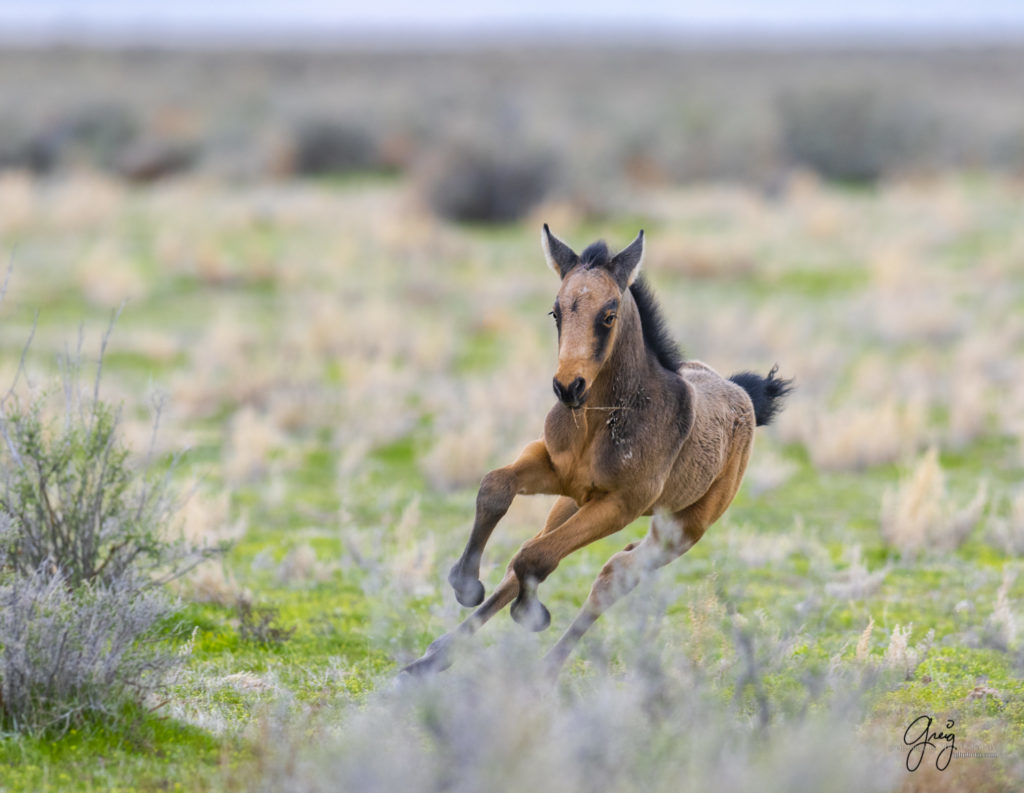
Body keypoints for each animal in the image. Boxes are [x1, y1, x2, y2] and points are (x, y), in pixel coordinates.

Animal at [401, 226, 790, 680]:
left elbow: (537, 557)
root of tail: (743, 392)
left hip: (683, 529)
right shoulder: (553, 468)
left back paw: (545, 669)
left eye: (608, 314)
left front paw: (532, 615)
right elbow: (496, 490)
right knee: (531, 558)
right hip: (570, 504)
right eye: (556, 312)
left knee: (611, 575)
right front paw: (465, 584)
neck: (596, 421)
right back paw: (431, 660)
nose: (568, 386)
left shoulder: (620, 506)